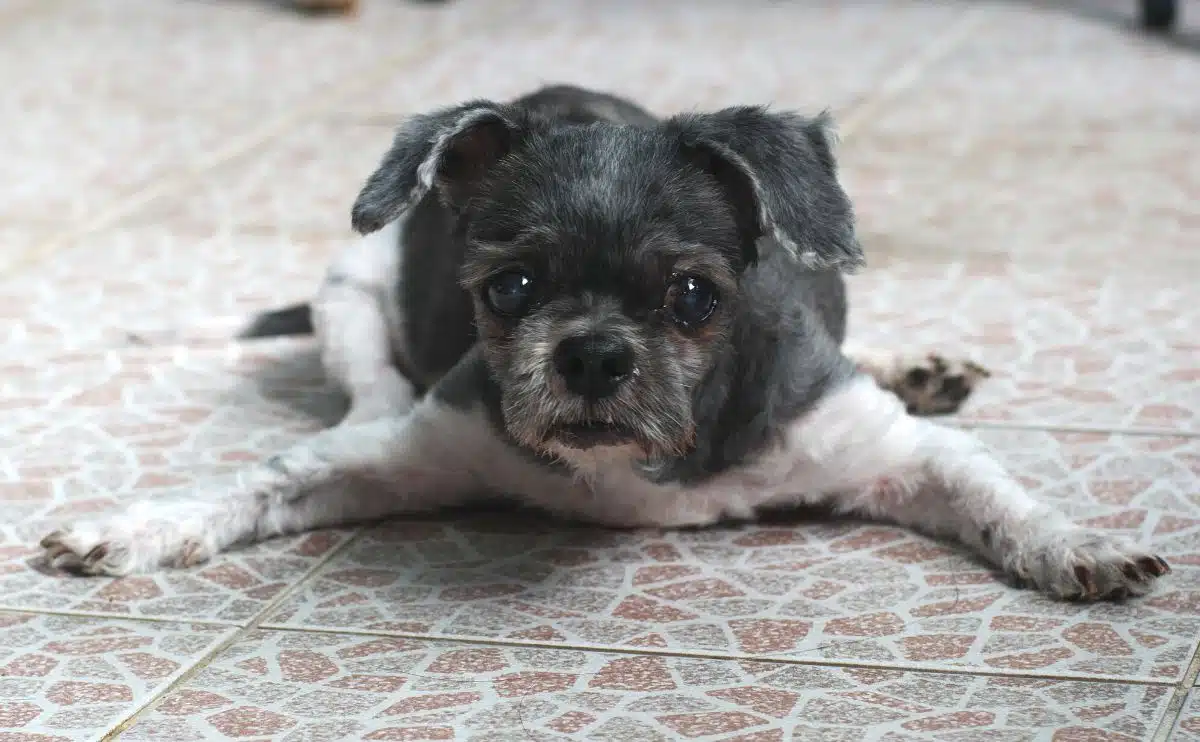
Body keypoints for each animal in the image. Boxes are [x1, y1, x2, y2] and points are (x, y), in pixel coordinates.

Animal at [42, 84, 1166, 597]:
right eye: (510, 287)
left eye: (695, 296)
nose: (591, 355)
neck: (649, 460)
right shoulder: (410, 453)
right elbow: (257, 485)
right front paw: (132, 528)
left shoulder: (887, 447)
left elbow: (998, 496)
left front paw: (1079, 547)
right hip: (349, 296)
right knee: (366, 389)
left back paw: (918, 363)